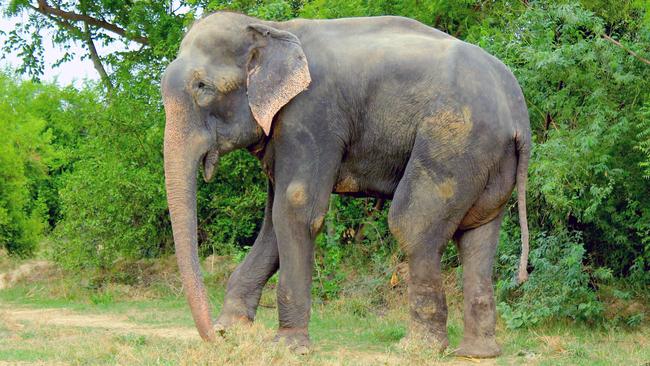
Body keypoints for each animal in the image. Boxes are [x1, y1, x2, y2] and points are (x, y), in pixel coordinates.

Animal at [161, 10, 528, 358]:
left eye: (202, 87)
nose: (212, 337)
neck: (270, 26)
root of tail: (518, 114)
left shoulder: (311, 115)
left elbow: (296, 209)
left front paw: (288, 347)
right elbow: (273, 223)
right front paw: (232, 329)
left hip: (455, 140)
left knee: (411, 224)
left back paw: (418, 348)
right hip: (488, 159)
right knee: (478, 235)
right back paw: (477, 353)